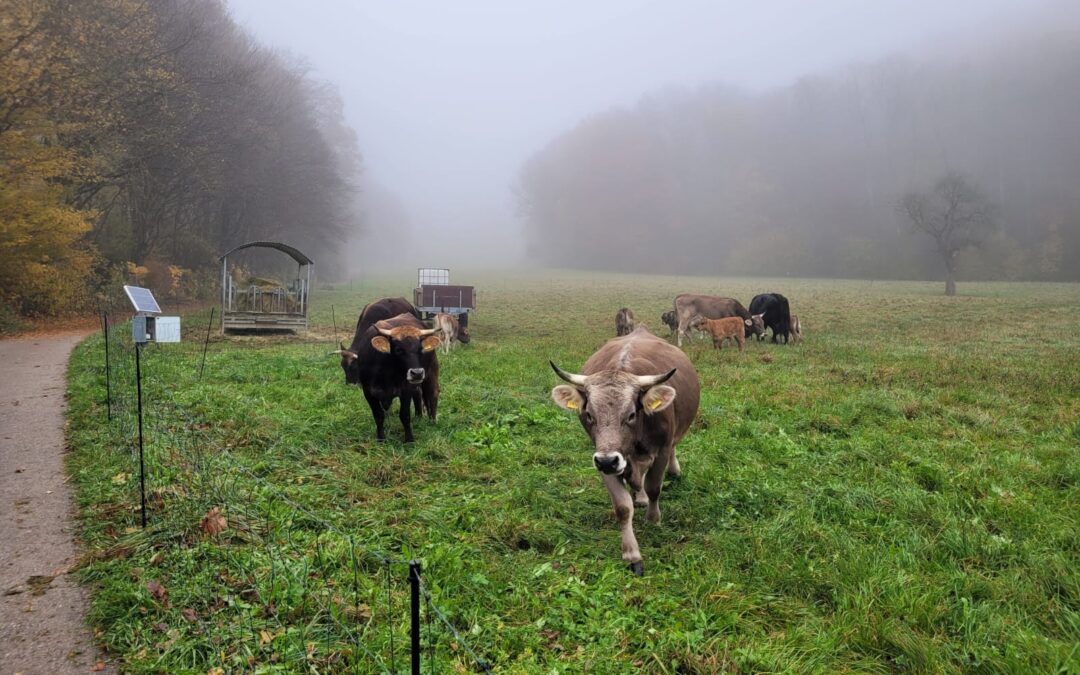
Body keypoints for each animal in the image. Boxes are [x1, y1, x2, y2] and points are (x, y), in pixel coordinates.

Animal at [334, 298, 440, 442]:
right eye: (398, 350)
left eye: (420, 349)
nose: (417, 373)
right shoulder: (369, 393)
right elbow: (378, 415)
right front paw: (381, 438)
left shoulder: (405, 389)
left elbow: (404, 415)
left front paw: (409, 439)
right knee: (418, 393)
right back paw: (418, 416)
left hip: (431, 371)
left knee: (432, 393)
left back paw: (432, 420)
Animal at [548, 326, 699, 574]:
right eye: (589, 415)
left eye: (631, 414)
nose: (608, 461)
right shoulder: (603, 457)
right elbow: (622, 507)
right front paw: (632, 554)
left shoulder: (662, 449)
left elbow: (655, 487)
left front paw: (653, 519)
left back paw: (673, 472)